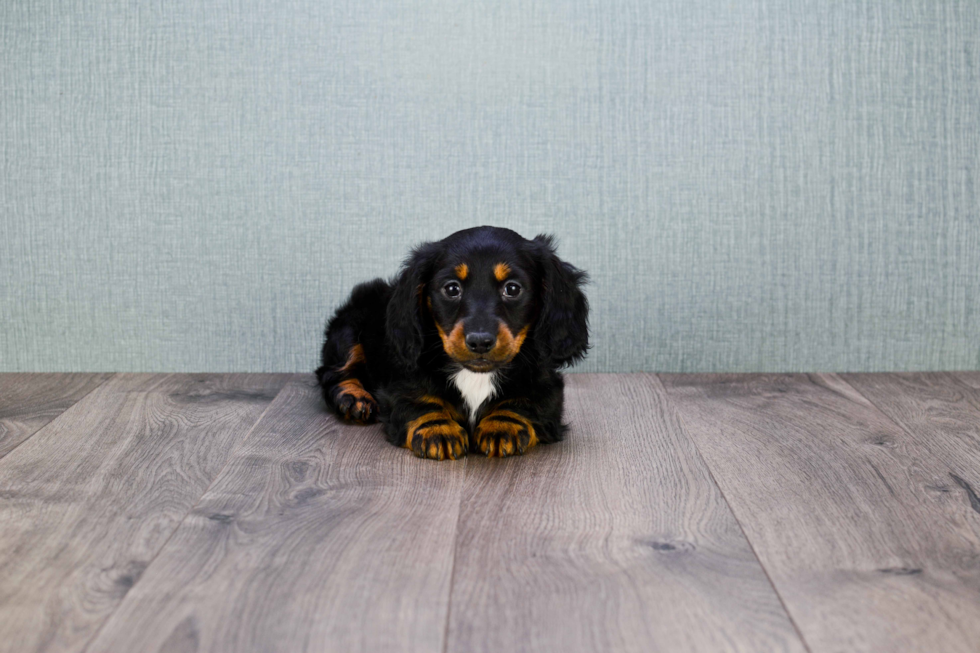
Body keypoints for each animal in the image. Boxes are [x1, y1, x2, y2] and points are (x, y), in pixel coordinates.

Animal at [318, 224, 584, 458]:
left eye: (513, 288)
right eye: (452, 289)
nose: (479, 342)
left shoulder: (547, 386)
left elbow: (524, 402)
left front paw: (503, 424)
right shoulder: (401, 382)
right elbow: (419, 400)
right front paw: (437, 428)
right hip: (349, 328)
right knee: (333, 373)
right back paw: (353, 398)